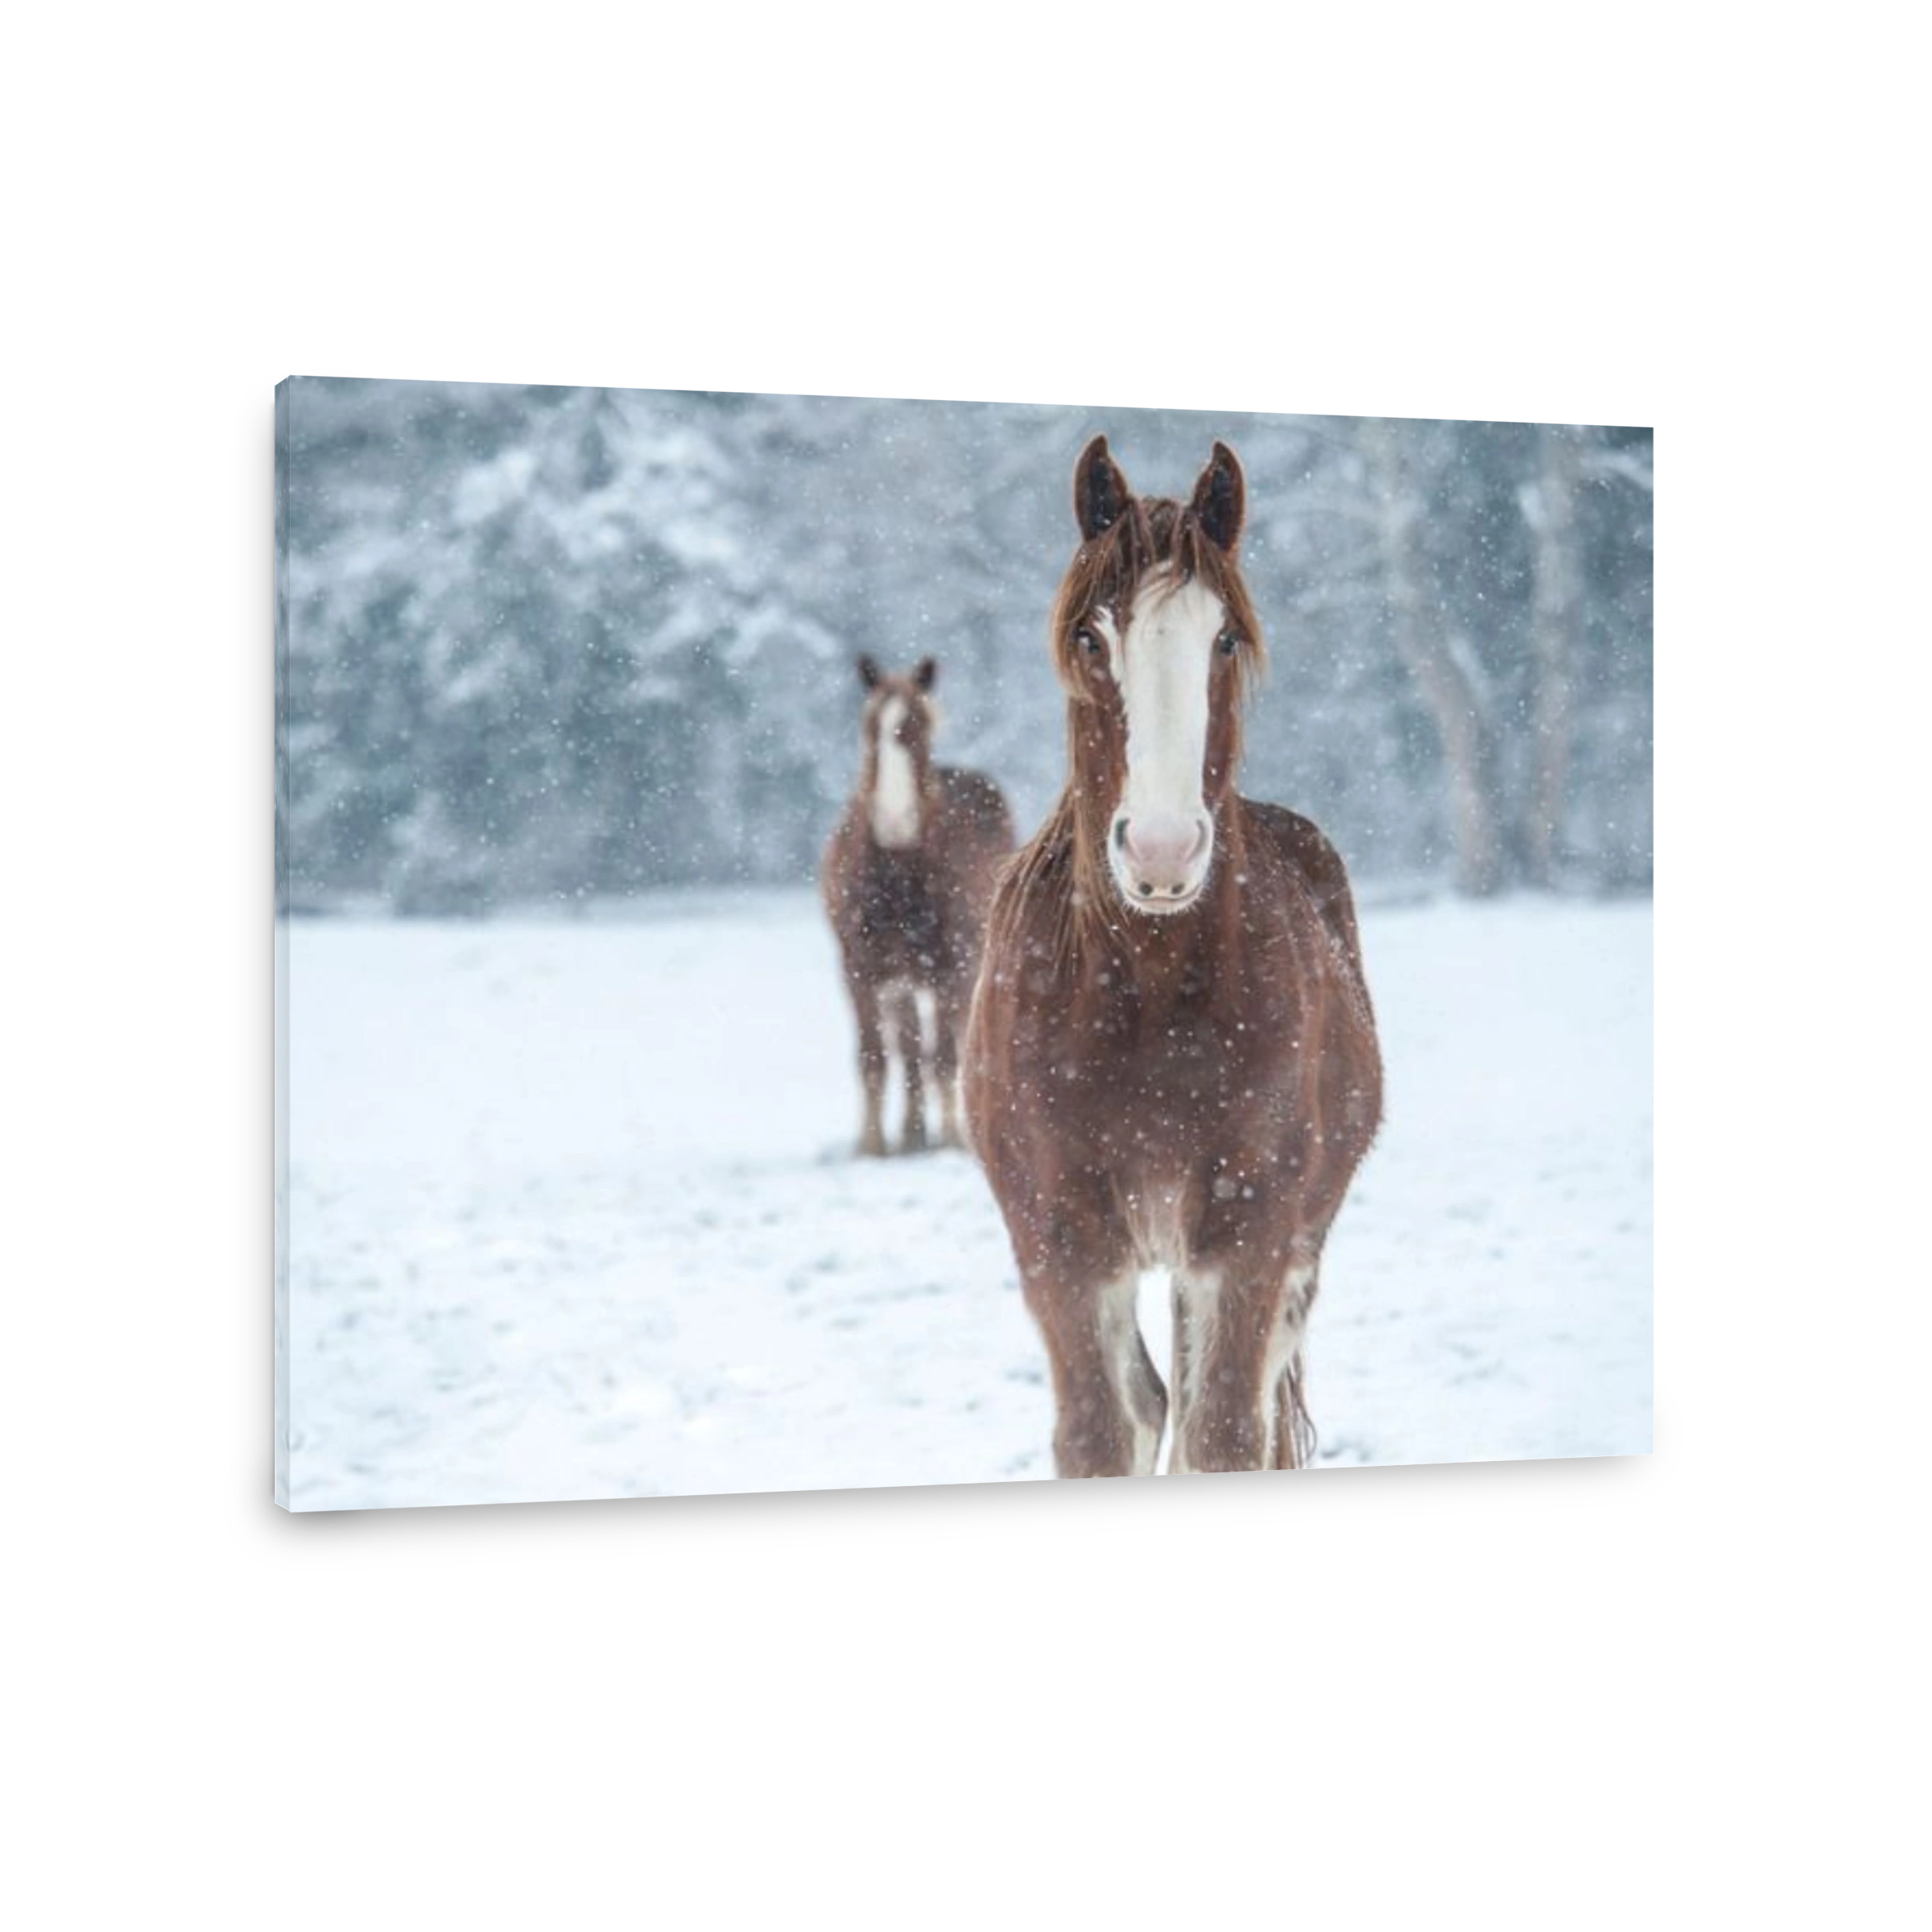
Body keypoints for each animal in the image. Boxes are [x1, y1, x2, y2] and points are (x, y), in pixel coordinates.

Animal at [822, 655, 1015, 1158]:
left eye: (918, 730)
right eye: (870, 727)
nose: (895, 821)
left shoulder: (951, 967)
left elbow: (943, 1056)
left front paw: (950, 1137)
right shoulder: (860, 969)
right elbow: (874, 1056)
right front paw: (872, 1144)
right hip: (901, 978)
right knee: (908, 1049)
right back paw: (910, 1132)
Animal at [964, 437, 1383, 1475]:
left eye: (1223, 639)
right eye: (1091, 637)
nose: (1160, 851)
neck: (1145, 989)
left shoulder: (1246, 1237)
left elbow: (1224, 1431)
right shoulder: (1061, 1242)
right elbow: (1102, 1429)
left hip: (1287, 1255)